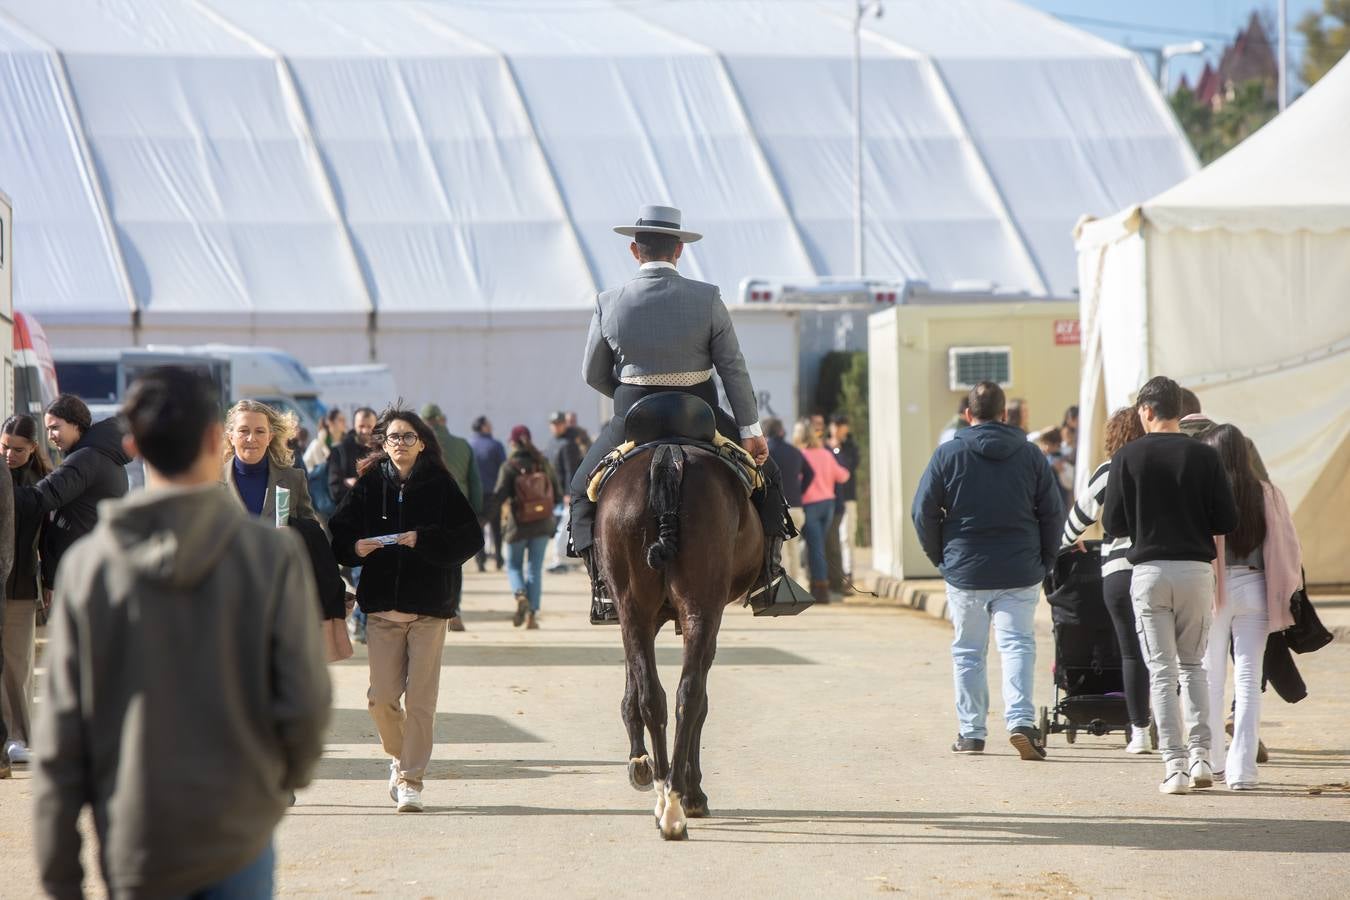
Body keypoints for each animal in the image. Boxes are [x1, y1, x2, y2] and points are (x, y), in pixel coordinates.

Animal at [596, 442, 766, 836]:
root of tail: (667, 454)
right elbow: (698, 699)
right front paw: (691, 790)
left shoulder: (641, 616)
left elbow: (635, 684)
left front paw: (640, 762)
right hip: (700, 610)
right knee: (689, 695)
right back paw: (677, 802)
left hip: (639, 606)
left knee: (658, 697)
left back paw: (666, 799)